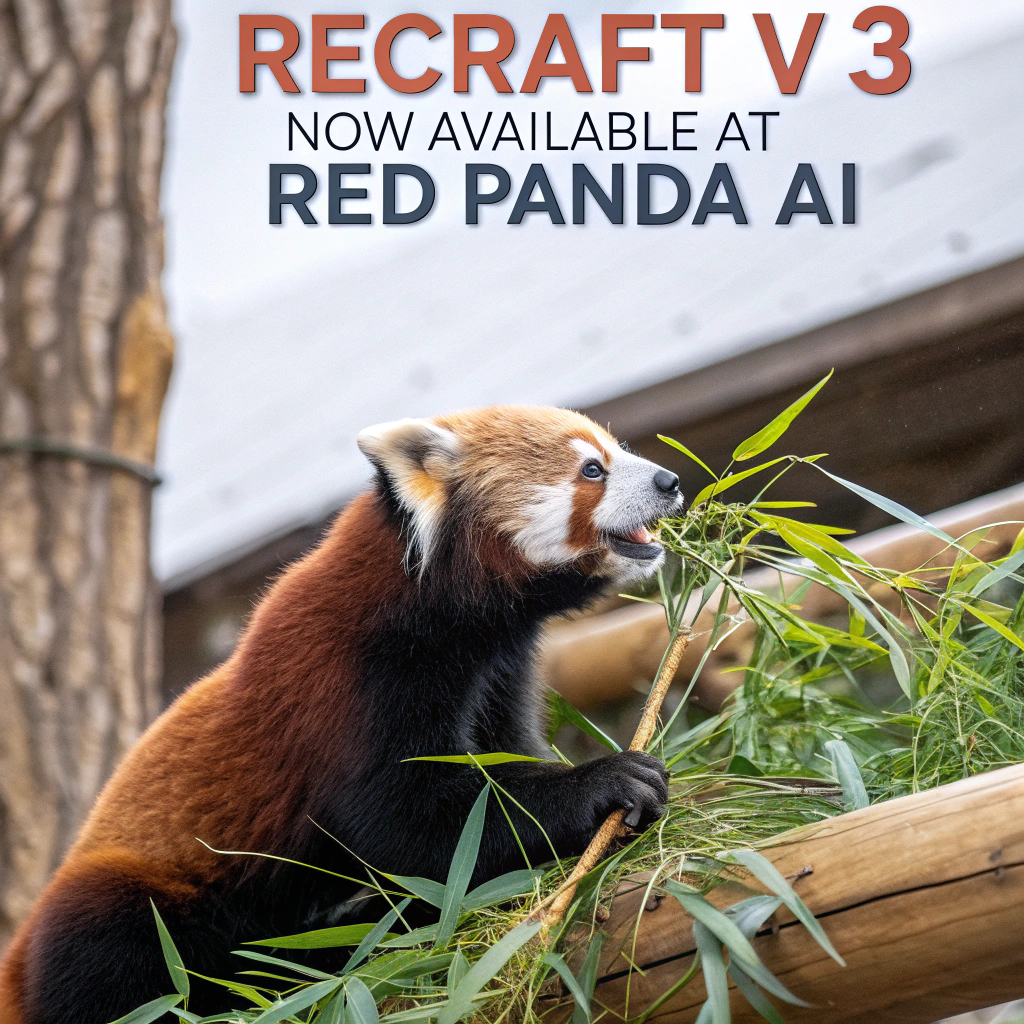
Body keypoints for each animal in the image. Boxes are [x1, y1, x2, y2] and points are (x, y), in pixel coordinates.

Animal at [0, 405, 682, 1023]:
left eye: (617, 450)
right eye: (592, 470)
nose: (670, 480)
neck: (440, 609)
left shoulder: (499, 669)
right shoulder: (355, 678)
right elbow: (410, 823)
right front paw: (604, 782)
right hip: (120, 903)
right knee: (121, 958)